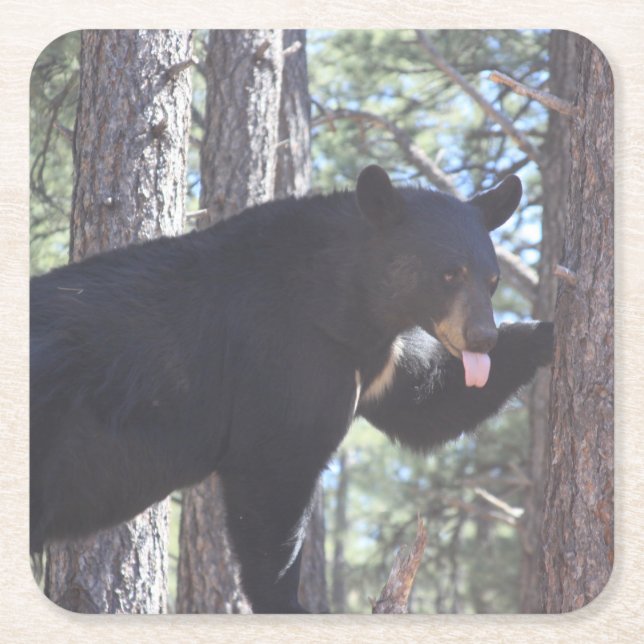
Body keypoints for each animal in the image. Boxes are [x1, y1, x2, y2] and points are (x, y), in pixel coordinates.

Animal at [30, 165, 553, 613]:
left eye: (492, 279)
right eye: (448, 273)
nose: (482, 337)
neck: (347, 303)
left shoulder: (377, 361)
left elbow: (425, 403)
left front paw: (545, 331)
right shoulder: (285, 355)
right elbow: (274, 473)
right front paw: (287, 601)